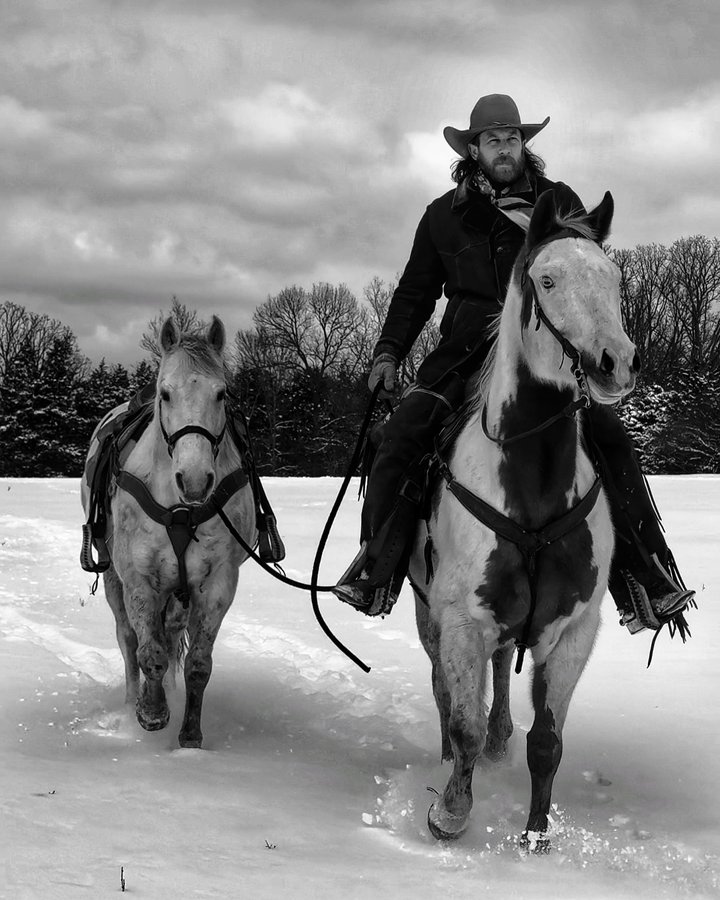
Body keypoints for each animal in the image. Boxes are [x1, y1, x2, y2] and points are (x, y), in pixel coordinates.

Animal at [81, 316, 256, 748]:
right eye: (165, 393)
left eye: (221, 393)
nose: (194, 480)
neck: (181, 508)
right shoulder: (139, 578)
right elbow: (149, 654)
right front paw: (151, 711)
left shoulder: (216, 582)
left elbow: (197, 664)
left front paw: (190, 735)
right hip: (113, 574)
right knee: (128, 639)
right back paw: (133, 699)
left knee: (172, 633)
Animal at [409, 189, 639, 849]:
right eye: (548, 279)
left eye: (614, 278)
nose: (617, 363)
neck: (533, 484)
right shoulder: (461, 622)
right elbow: (460, 721)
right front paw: (449, 814)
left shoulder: (572, 633)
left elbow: (547, 743)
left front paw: (536, 837)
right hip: (426, 614)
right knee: (443, 693)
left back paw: (499, 739)